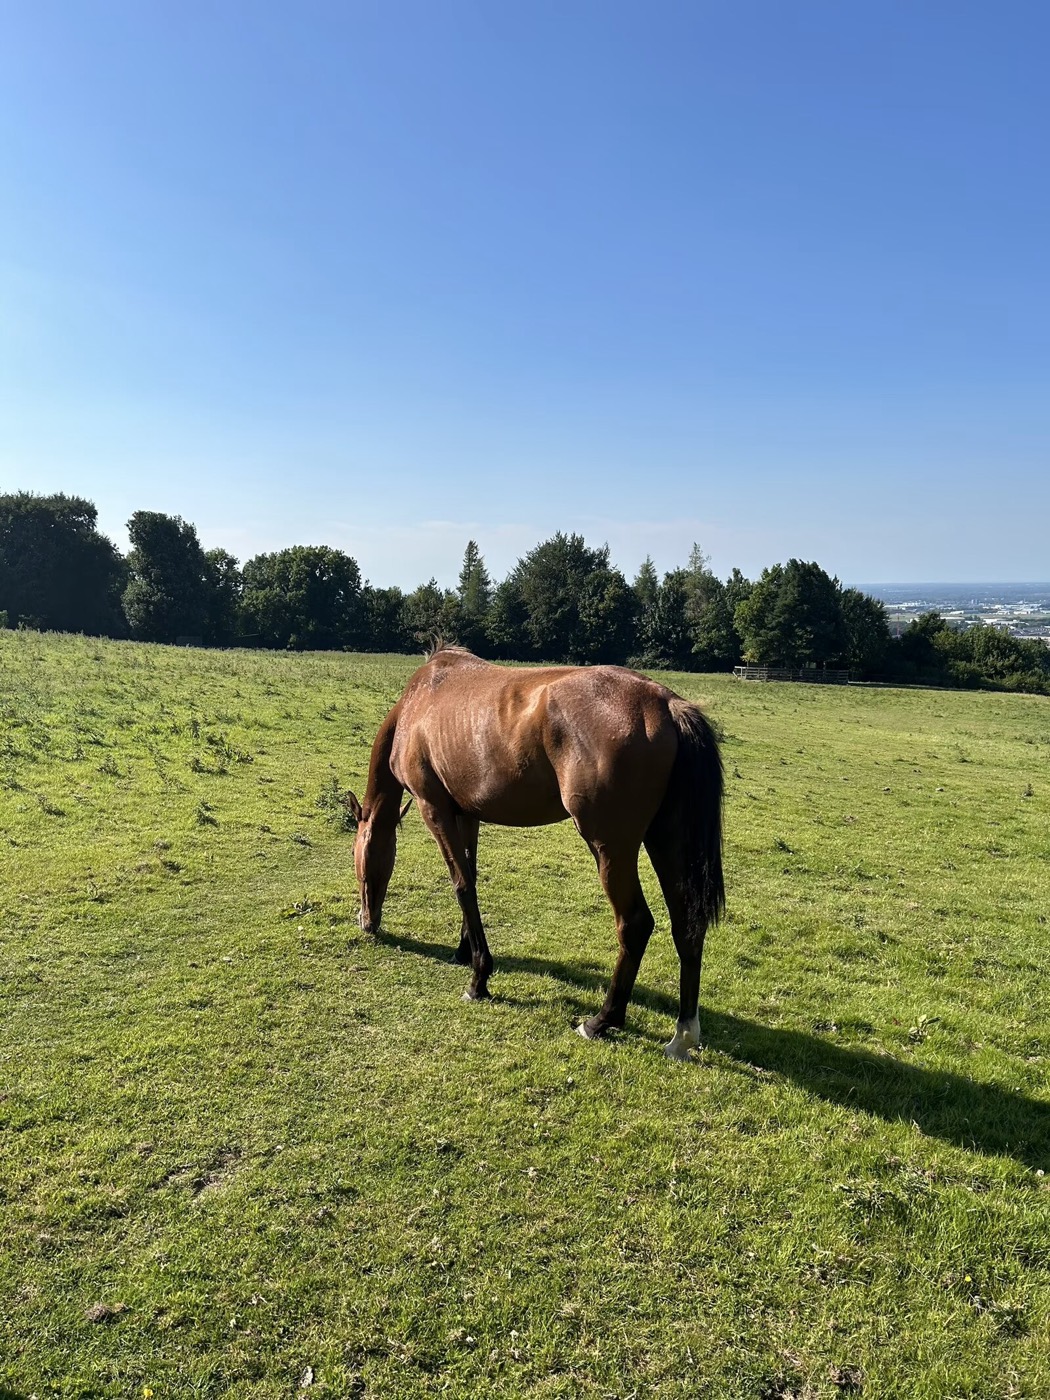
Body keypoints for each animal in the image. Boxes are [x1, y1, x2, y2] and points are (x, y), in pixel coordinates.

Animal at [345, 647, 724, 1058]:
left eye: (356, 855)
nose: (366, 921)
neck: (419, 702)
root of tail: (665, 704)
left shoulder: (435, 809)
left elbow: (462, 885)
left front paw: (479, 978)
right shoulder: (467, 814)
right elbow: (471, 878)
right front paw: (464, 951)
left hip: (611, 848)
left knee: (636, 923)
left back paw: (601, 1020)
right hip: (666, 841)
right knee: (687, 925)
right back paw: (682, 1034)